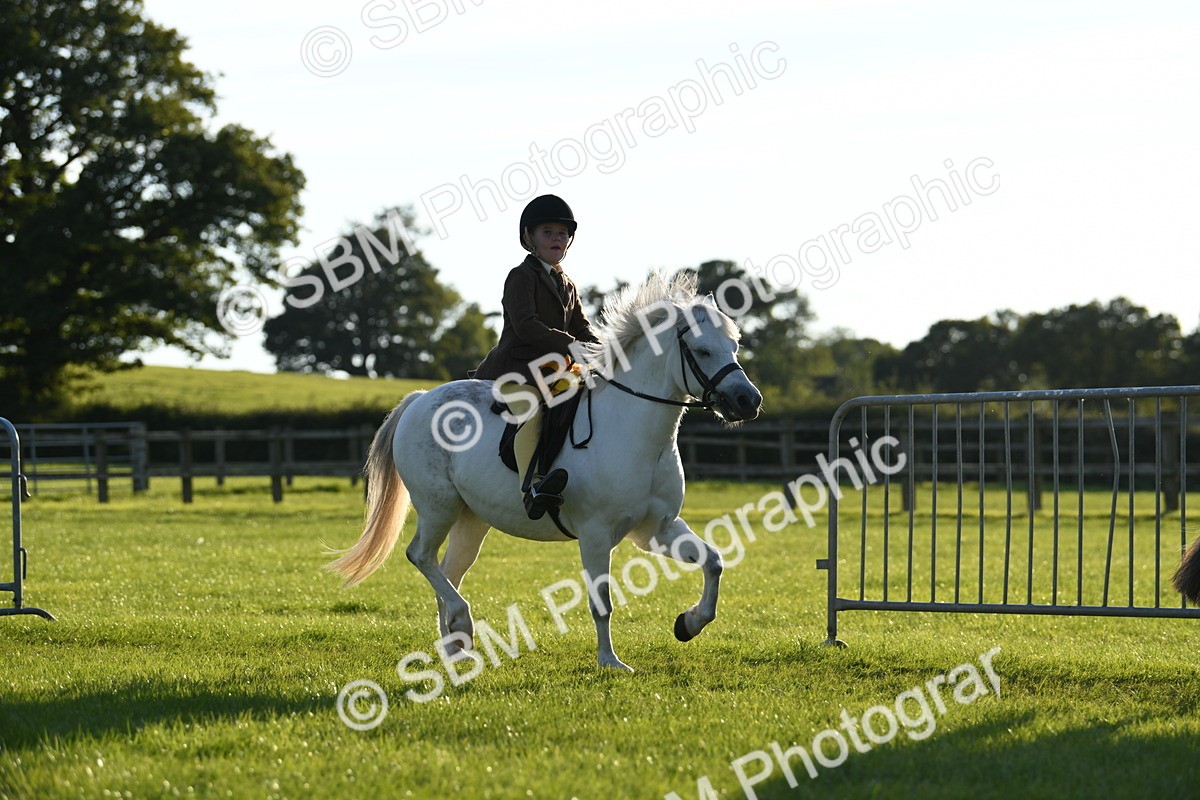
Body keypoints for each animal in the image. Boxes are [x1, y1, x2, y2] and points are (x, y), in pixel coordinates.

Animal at [325, 271, 762, 672]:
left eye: (734, 345)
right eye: (702, 351)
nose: (749, 401)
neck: (635, 430)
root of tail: (419, 400)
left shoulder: (656, 529)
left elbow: (714, 562)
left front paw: (688, 623)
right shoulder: (596, 534)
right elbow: (601, 601)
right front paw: (610, 662)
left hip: (471, 519)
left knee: (447, 570)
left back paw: (455, 647)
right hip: (438, 506)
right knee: (421, 556)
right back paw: (463, 625)